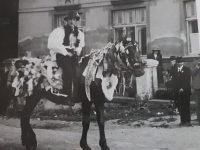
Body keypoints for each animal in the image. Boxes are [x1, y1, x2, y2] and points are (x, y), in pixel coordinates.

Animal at [3, 37, 144, 150]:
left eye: (138, 50)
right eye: (126, 52)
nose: (141, 71)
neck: (98, 69)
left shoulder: (99, 100)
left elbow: (101, 121)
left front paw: (104, 145)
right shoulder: (87, 100)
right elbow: (86, 122)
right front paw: (84, 145)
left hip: (32, 96)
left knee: (24, 116)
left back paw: (28, 141)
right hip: (33, 96)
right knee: (24, 115)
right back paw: (31, 141)